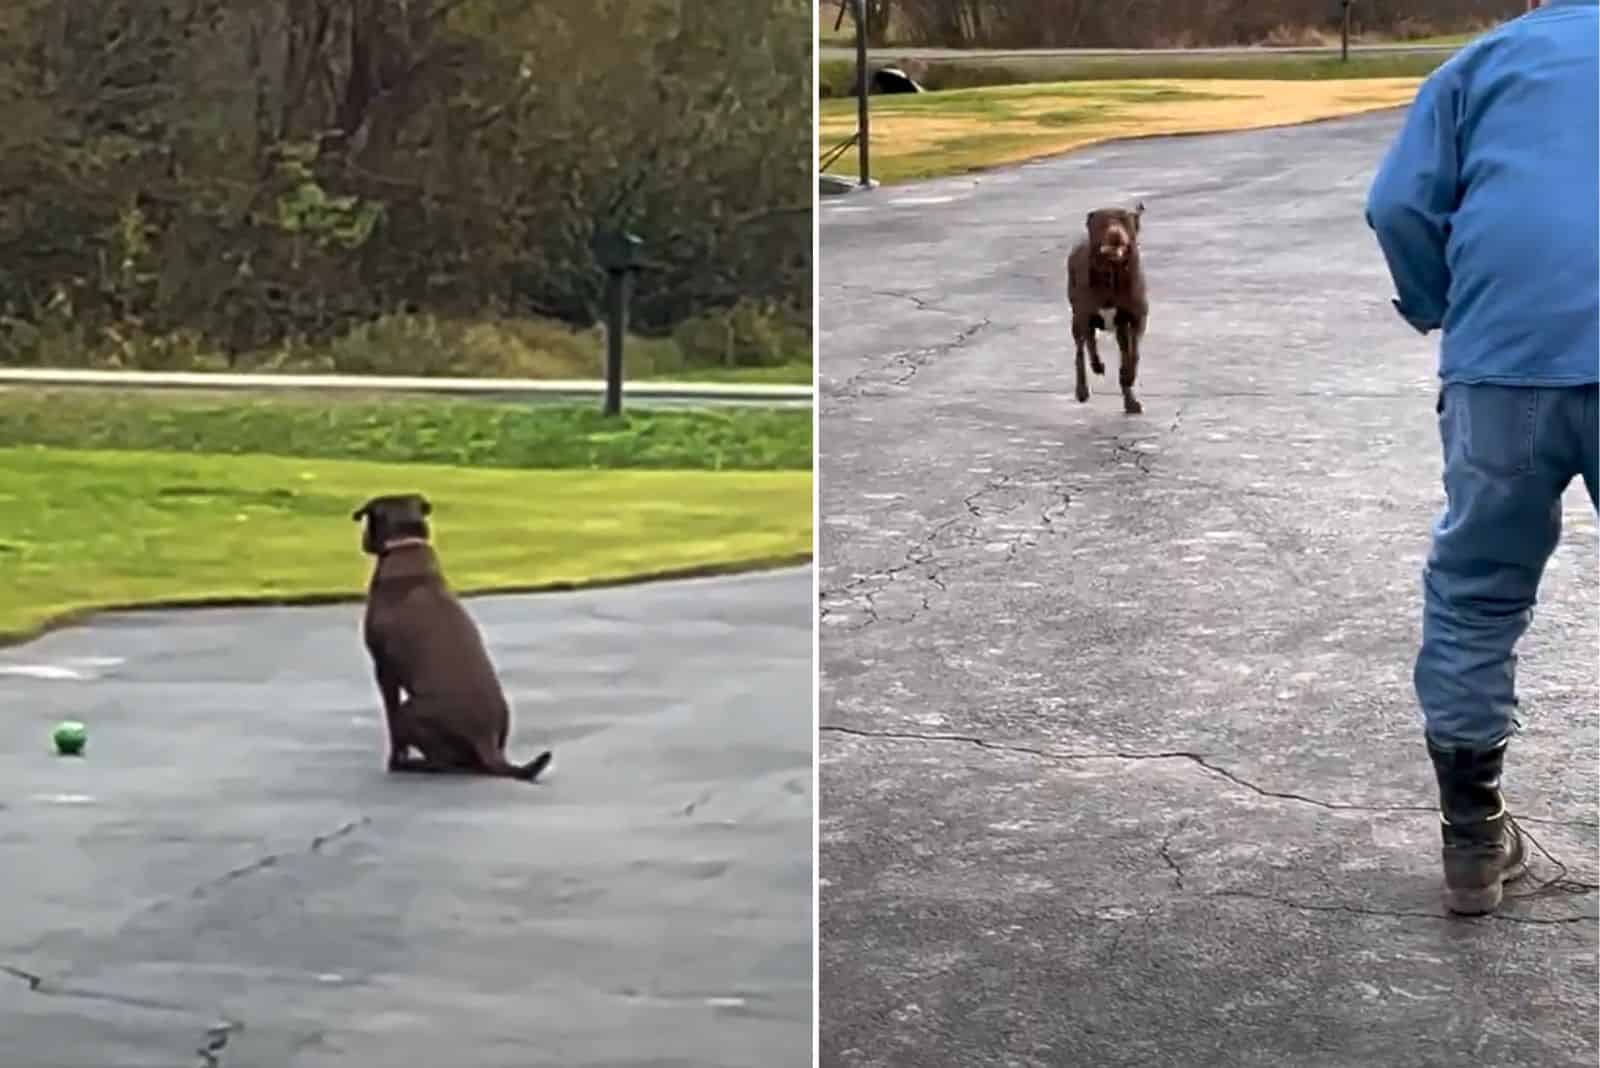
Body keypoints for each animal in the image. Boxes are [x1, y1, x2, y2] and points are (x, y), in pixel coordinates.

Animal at [350, 495, 550, 783]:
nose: (363, 539)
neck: (406, 544)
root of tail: (485, 738)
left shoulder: (384, 669)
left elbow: (391, 722)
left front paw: (395, 760)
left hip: (409, 710)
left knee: (442, 761)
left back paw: (414, 764)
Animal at [1062, 202, 1152, 415]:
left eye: (1124, 221)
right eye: (1103, 223)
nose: (1115, 233)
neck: (1112, 273)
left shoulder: (1137, 318)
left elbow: (1133, 353)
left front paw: (1128, 375)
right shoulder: (1084, 315)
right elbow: (1088, 346)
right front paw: (1097, 367)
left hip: (1119, 329)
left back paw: (1130, 401)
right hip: (1076, 320)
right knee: (1081, 351)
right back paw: (1083, 389)